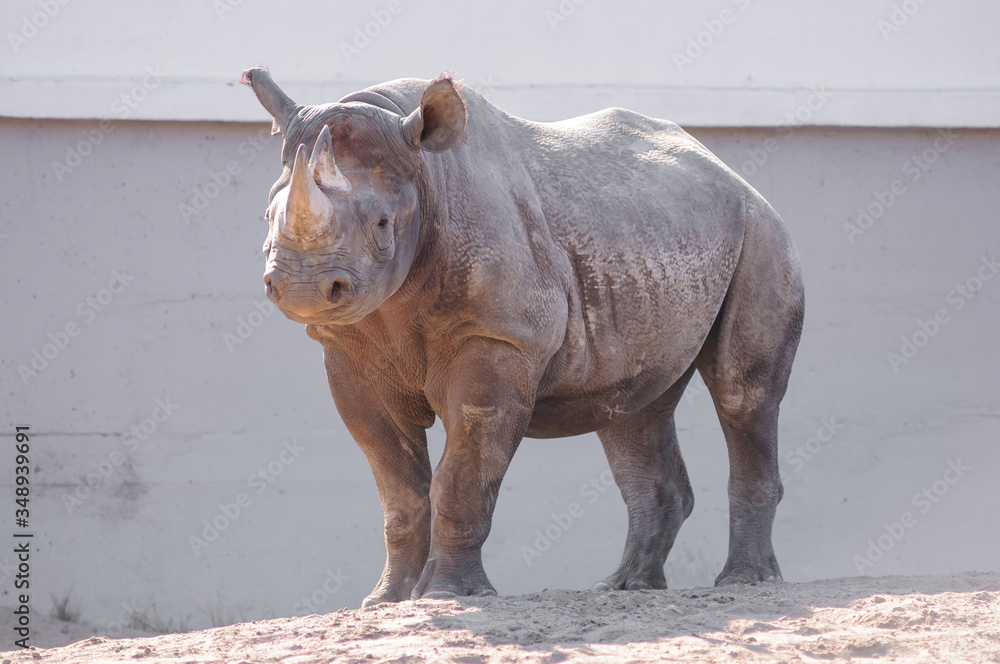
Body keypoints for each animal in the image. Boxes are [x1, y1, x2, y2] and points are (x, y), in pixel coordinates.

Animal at [240, 67, 804, 605]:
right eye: (266, 216)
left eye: (382, 223)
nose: (301, 287)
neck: (425, 173)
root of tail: (729, 171)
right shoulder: (347, 349)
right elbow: (398, 490)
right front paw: (386, 600)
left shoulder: (500, 338)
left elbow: (462, 476)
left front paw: (446, 595)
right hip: (651, 236)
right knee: (633, 410)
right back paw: (622, 587)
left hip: (760, 232)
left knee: (742, 396)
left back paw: (744, 582)